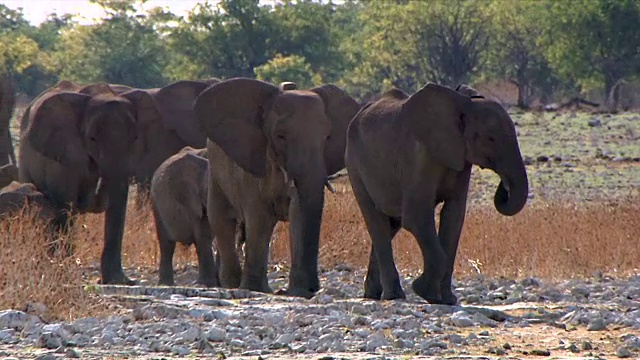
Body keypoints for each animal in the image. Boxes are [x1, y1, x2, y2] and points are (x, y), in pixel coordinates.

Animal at [19, 79, 160, 284]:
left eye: (135, 138)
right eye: (92, 139)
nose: (98, 179)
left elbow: (118, 203)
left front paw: (118, 281)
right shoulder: (64, 154)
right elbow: (65, 205)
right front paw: (63, 271)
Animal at [195, 77, 360, 296]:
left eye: (327, 137)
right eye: (280, 136)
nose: (313, 288)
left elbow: (299, 212)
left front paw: (298, 292)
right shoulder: (252, 162)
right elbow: (259, 218)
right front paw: (256, 289)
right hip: (215, 168)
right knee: (222, 220)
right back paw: (233, 284)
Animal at [344, 82, 528, 304]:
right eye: (491, 139)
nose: (504, 185)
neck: (463, 104)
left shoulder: (460, 157)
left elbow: (454, 217)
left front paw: (447, 300)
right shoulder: (417, 154)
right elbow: (417, 218)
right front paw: (425, 292)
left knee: (391, 225)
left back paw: (372, 294)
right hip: (354, 166)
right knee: (377, 223)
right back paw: (394, 296)